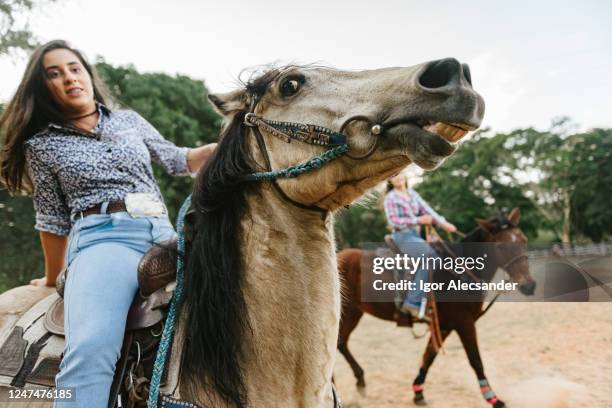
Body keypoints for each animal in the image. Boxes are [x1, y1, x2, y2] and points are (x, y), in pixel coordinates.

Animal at [338, 209, 532, 406]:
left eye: (524, 240)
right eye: (500, 246)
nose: (529, 285)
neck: (459, 274)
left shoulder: (444, 326)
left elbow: (429, 355)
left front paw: (418, 393)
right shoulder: (464, 323)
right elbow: (475, 359)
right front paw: (493, 398)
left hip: (354, 312)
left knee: (340, 343)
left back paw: (359, 383)